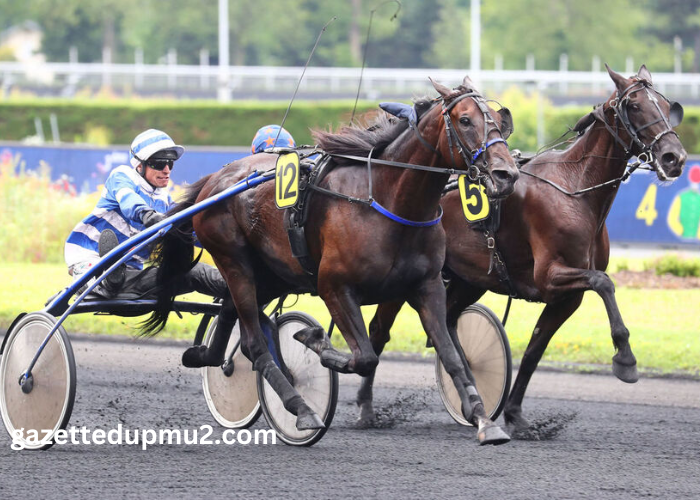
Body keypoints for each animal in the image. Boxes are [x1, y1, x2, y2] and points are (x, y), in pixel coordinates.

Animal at [141, 76, 520, 444]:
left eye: (499, 119)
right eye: (465, 120)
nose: (507, 174)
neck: (388, 202)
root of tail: (214, 180)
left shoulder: (426, 286)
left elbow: (452, 356)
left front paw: (484, 420)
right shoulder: (334, 286)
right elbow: (364, 357)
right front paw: (314, 340)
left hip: (273, 273)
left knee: (236, 322)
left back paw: (206, 356)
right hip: (234, 261)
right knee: (255, 343)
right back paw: (302, 409)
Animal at [358, 64, 688, 434]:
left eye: (666, 105)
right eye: (634, 105)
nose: (674, 157)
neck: (575, 189)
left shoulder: (567, 297)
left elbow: (534, 351)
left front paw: (515, 414)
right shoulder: (550, 276)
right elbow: (604, 283)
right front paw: (625, 359)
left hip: (468, 279)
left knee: (449, 320)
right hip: (407, 278)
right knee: (380, 330)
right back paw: (366, 408)